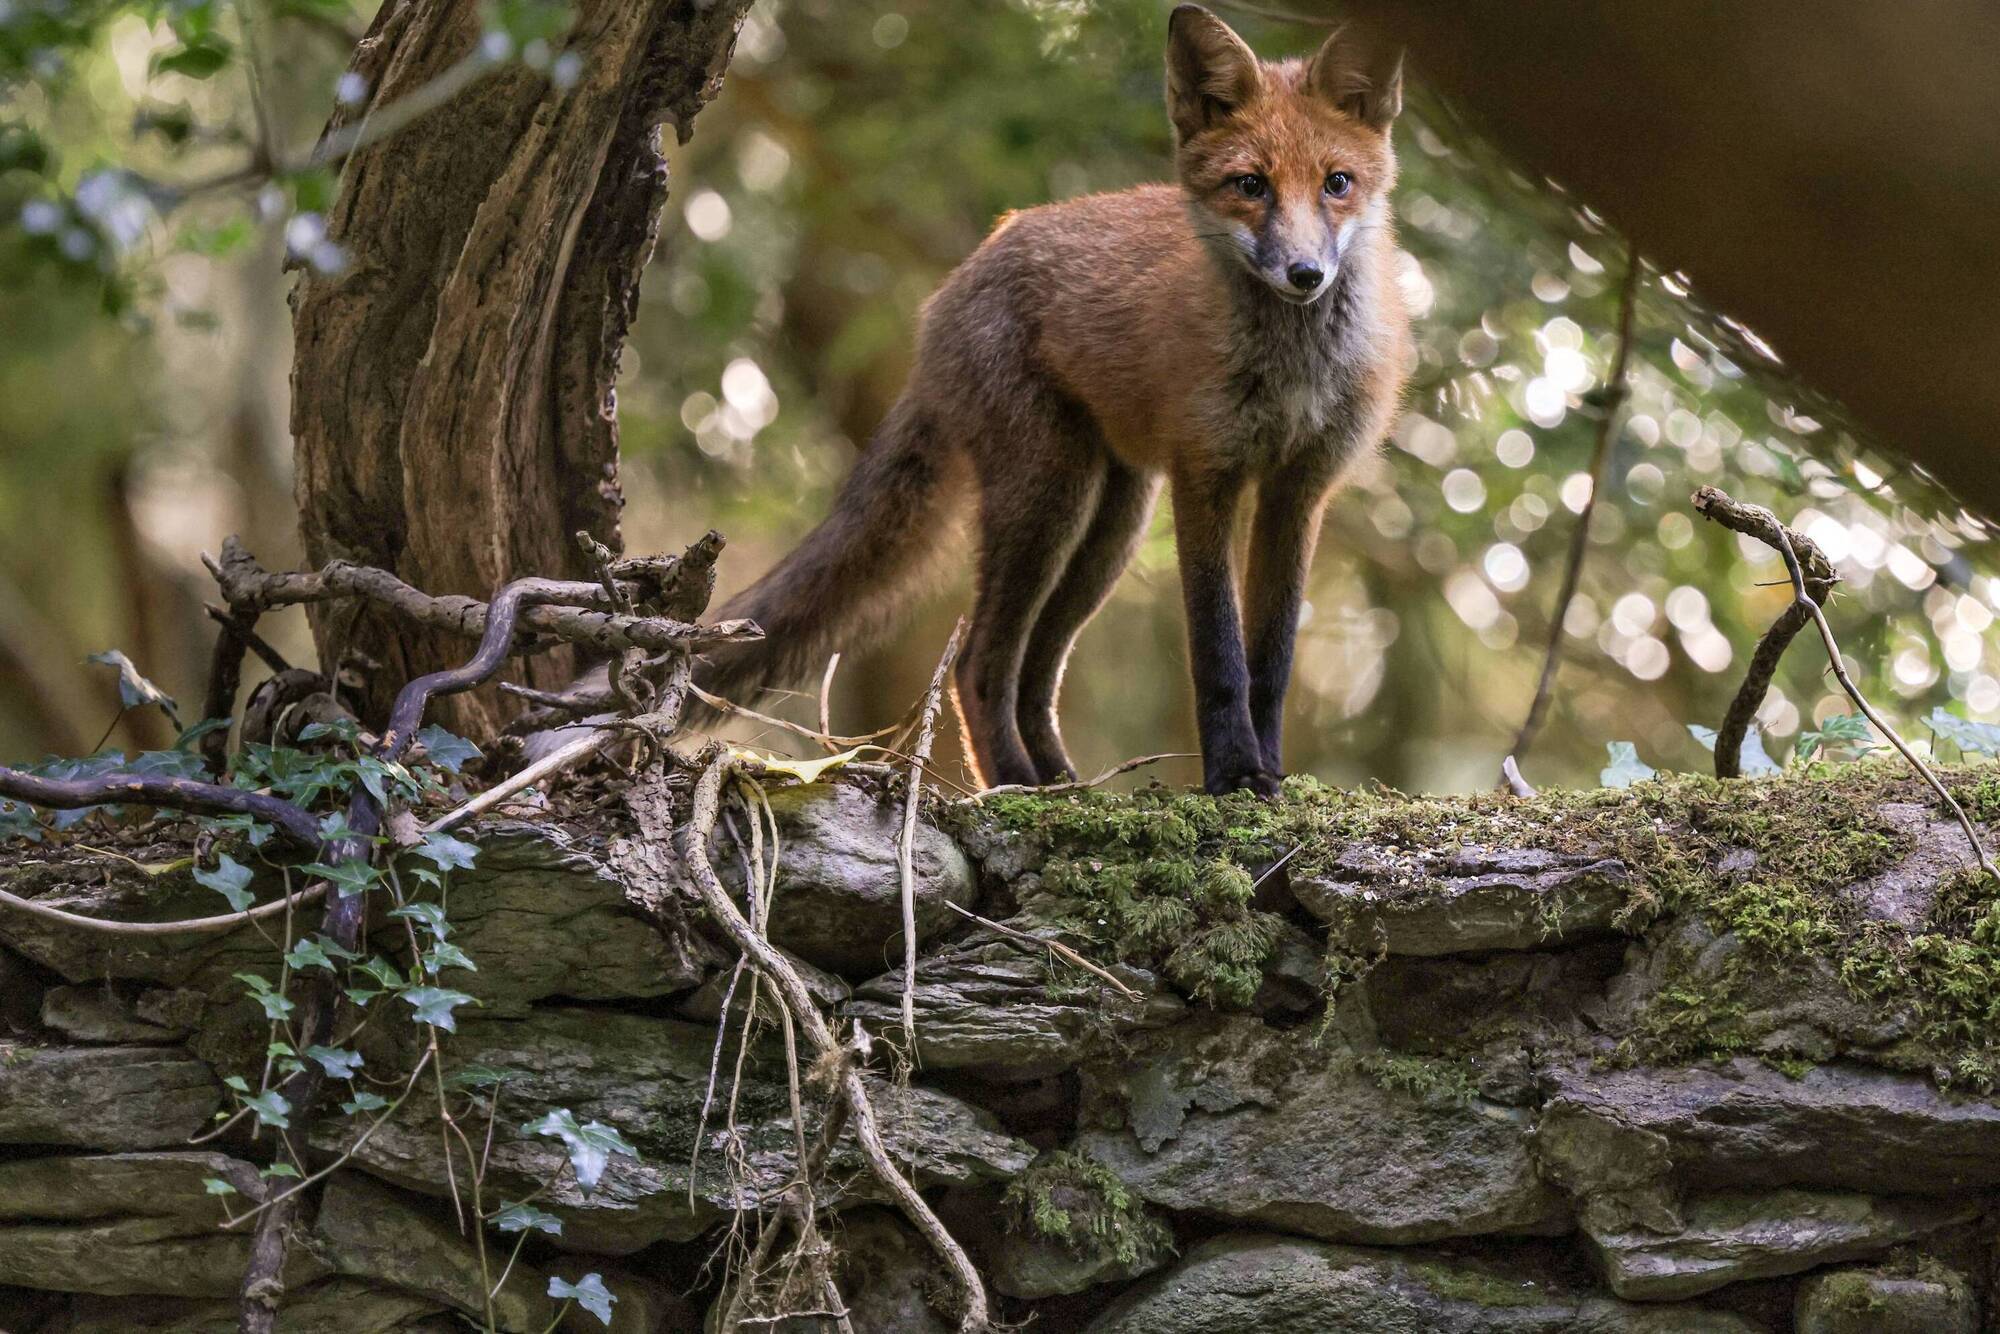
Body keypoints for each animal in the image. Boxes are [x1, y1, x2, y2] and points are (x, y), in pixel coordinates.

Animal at [698, 6, 1411, 796]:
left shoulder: (1299, 490)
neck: (1292, 370)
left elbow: (1273, 663)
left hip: (1112, 524)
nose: (1305, 273)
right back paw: (1014, 783)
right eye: (1250, 184)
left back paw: (1061, 781)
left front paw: (1273, 773)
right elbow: (1218, 654)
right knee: (979, 665)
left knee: (1036, 674)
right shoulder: (1206, 475)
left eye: (1337, 182)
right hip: (1050, 494)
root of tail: (957, 283)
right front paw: (1233, 775)